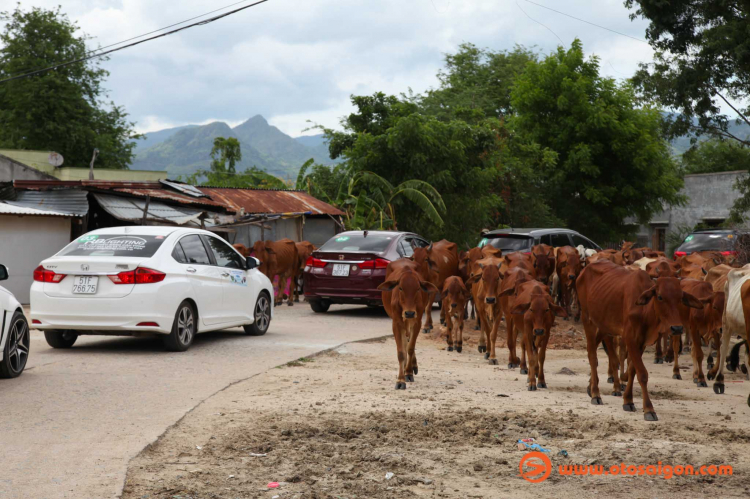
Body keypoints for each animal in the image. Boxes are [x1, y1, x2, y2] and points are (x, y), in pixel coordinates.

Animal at [576, 262, 704, 422]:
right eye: (660, 297)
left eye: (680, 297)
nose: (677, 328)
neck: (645, 310)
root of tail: (585, 269)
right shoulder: (630, 338)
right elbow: (642, 373)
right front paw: (649, 409)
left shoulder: (641, 342)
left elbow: (632, 370)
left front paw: (628, 400)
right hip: (587, 319)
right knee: (592, 356)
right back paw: (595, 393)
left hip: (604, 325)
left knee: (601, 350)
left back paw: (591, 386)